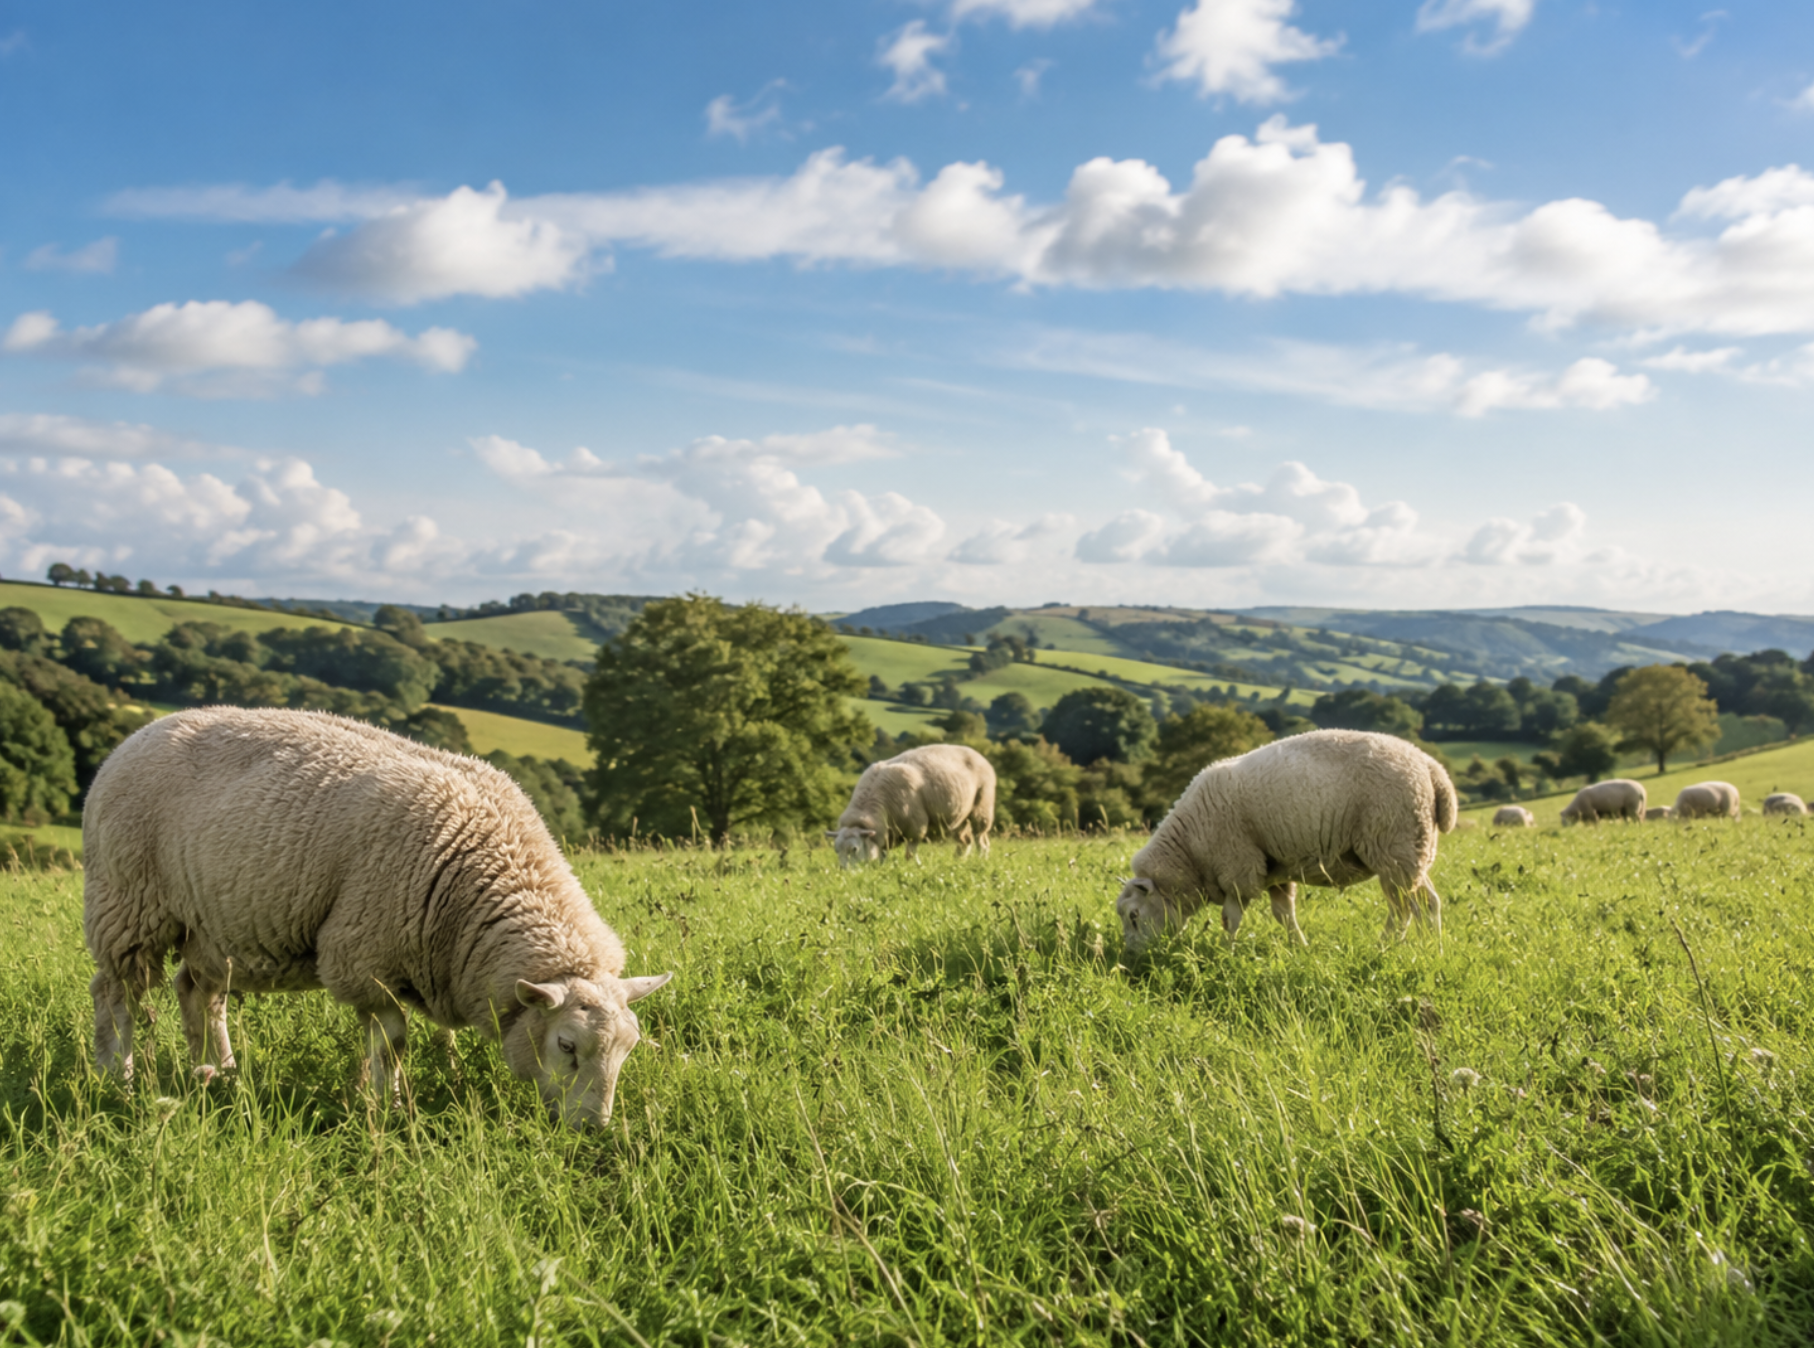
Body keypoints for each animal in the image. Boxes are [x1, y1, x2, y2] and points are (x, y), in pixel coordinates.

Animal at [82, 707, 672, 1128]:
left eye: (629, 1049)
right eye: (567, 1046)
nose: (594, 1128)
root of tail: (137, 735)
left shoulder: (415, 960)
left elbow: (418, 1039)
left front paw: (396, 1089)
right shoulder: (363, 956)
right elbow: (393, 1039)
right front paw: (389, 1110)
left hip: (209, 926)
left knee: (198, 993)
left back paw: (216, 1074)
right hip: (126, 903)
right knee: (116, 996)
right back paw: (119, 1080)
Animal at [827, 743, 995, 867]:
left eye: (854, 849)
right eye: (836, 850)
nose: (844, 871)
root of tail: (978, 754)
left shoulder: (916, 827)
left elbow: (910, 853)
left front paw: (914, 866)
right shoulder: (886, 834)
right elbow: (882, 854)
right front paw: (881, 868)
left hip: (981, 809)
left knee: (982, 841)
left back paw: (981, 860)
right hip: (957, 817)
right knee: (965, 841)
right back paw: (958, 861)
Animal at [1114, 729, 1457, 951]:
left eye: (1134, 916)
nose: (1132, 958)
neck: (1188, 855)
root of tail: (1431, 768)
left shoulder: (1239, 868)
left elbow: (1230, 918)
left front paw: (1226, 952)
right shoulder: (1275, 871)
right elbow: (1284, 915)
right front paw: (1300, 948)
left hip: (1393, 847)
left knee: (1407, 908)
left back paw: (1393, 948)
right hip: (1411, 853)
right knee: (1424, 904)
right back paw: (1425, 949)